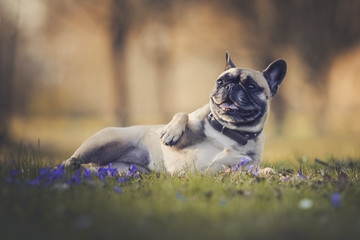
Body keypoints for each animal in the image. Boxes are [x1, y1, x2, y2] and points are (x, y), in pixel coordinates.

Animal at [62, 53, 286, 174]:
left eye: (251, 85)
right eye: (221, 81)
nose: (231, 86)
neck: (228, 132)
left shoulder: (240, 165)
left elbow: (248, 168)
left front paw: (267, 173)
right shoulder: (182, 143)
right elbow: (183, 113)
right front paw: (170, 132)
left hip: (123, 170)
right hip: (104, 138)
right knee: (69, 161)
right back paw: (68, 166)